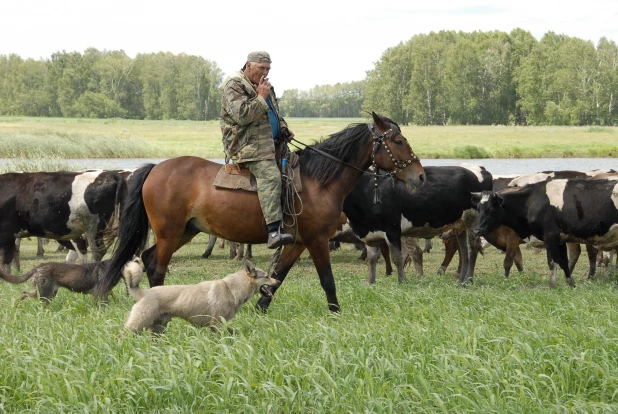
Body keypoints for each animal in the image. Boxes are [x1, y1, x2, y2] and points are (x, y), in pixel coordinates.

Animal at [104, 111, 424, 312]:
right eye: (398, 141)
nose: (420, 176)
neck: (317, 181)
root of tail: (155, 169)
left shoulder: (297, 242)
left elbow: (278, 276)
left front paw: (260, 308)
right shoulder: (317, 240)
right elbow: (327, 279)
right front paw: (335, 312)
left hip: (185, 231)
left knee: (147, 258)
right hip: (170, 233)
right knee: (157, 266)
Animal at [342, 165, 490, 284]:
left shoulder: (392, 230)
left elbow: (397, 258)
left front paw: (402, 281)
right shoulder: (370, 234)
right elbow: (372, 258)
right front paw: (370, 282)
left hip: (473, 222)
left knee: (472, 250)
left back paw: (468, 281)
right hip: (460, 226)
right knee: (464, 253)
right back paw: (461, 280)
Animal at [472, 178, 616, 288]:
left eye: (490, 209)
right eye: (478, 208)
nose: (477, 230)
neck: (532, 201)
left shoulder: (549, 236)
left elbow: (551, 262)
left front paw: (552, 285)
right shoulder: (560, 239)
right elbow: (562, 261)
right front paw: (570, 284)